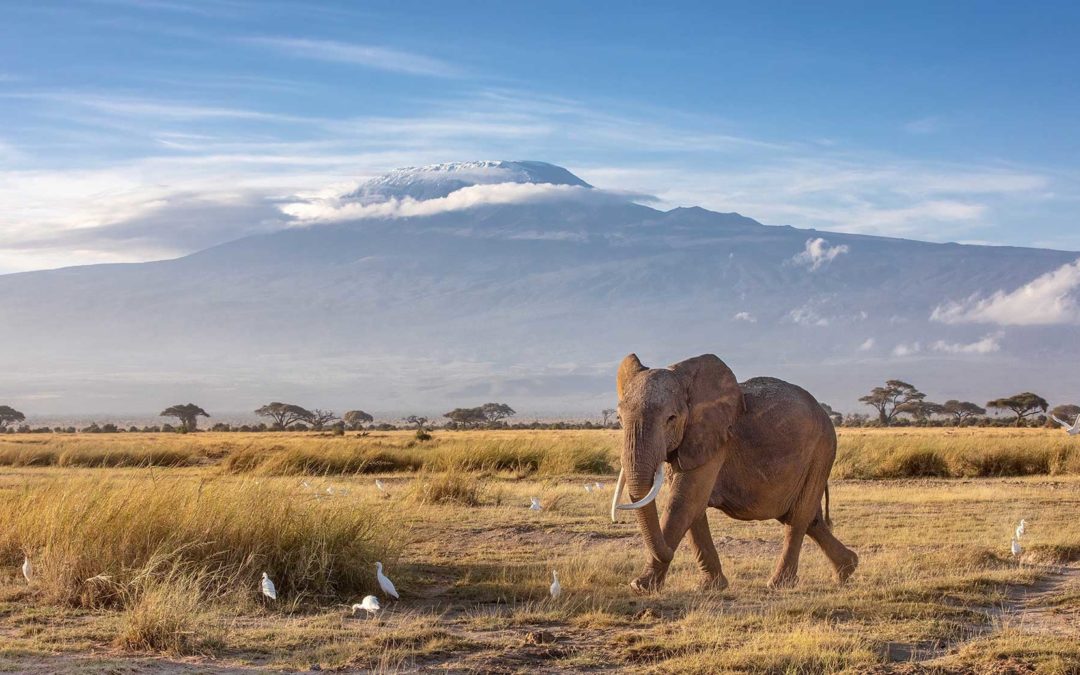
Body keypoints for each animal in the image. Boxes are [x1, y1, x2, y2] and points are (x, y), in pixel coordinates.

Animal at [613, 352, 855, 587]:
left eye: (671, 419)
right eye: (619, 419)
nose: (670, 553)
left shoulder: (716, 440)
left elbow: (684, 502)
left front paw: (640, 586)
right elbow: (693, 507)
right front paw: (712, 586)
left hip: (821, 451)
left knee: (798, 517)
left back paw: (779, 583)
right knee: (810, 519)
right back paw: (847, 569)